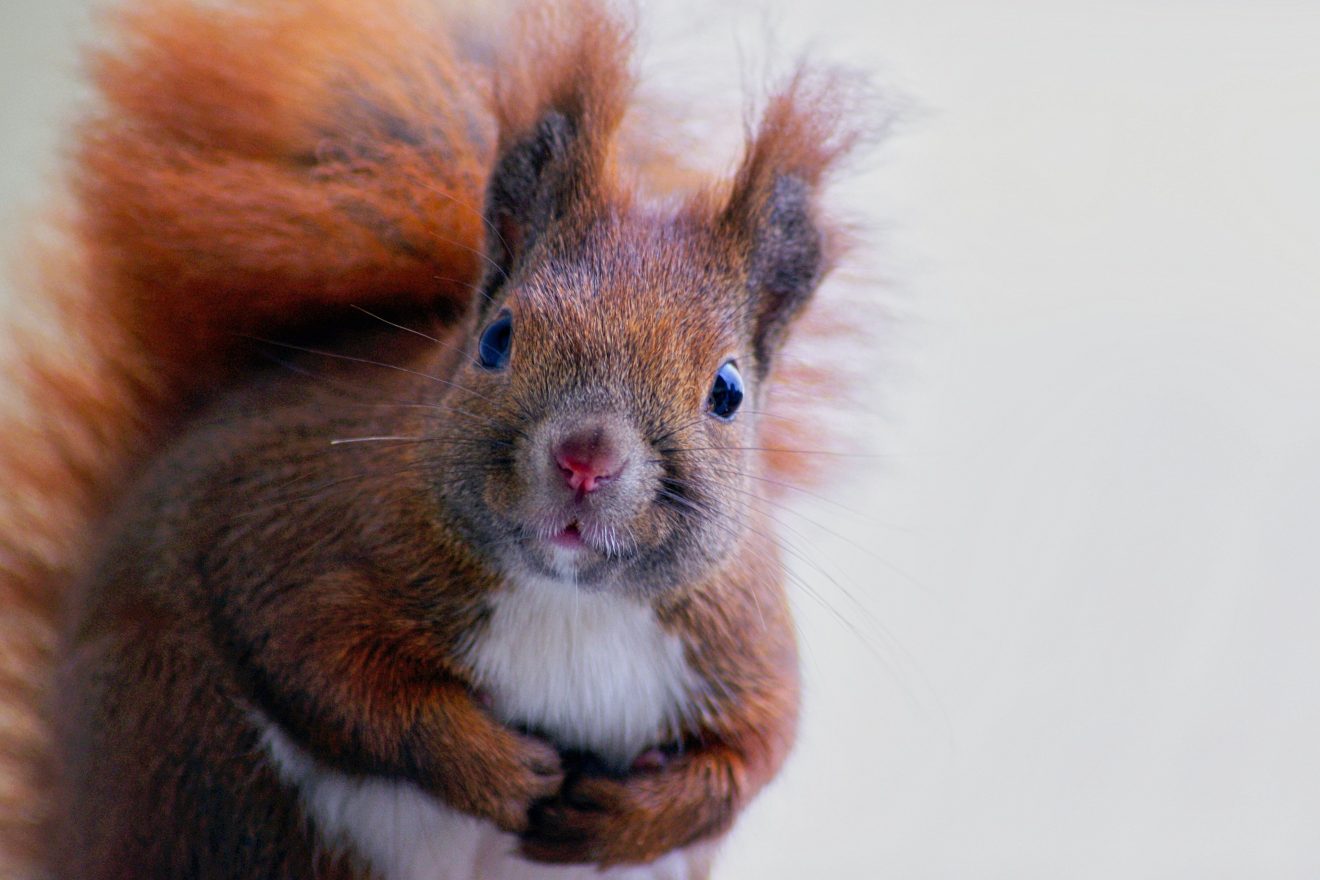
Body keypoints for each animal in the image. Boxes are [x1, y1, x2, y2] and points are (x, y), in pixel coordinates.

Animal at [0, 0, 867, 877]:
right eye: (497, 338)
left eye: (727, 392)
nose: (585, 461)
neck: (567, 599)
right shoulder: (293, 538)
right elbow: (333, 675)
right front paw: (498, 770)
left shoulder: (743, 648)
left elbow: (749, 757)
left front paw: (625, 816)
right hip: (199, 772)